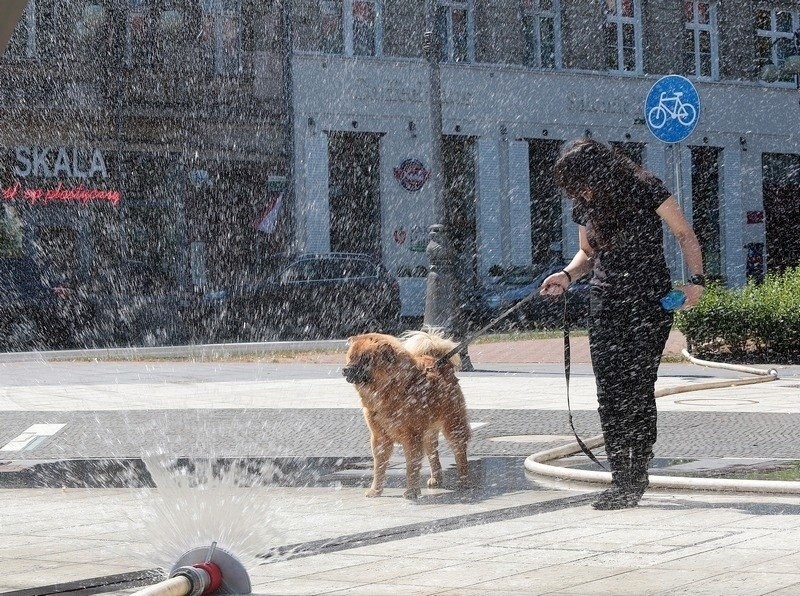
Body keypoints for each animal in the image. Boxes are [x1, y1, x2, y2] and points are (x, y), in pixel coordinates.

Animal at [342, 330, 468, 498]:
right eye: (350, 357)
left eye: (365, 359)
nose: (345, 369)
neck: (388, 390)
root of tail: (439, 362)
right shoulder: (379, 437)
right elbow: (379, 467)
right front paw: (375, 490)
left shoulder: (411, 437)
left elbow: (411, 466)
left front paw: (411, 491)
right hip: (428, 433)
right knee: (433, 454)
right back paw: (436, 478)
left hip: (453, 424)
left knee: (460, 452)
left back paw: (464, 480)